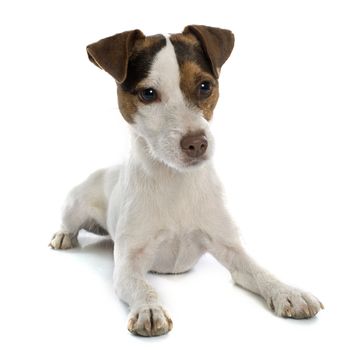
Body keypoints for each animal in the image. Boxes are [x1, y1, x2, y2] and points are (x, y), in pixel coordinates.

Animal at [49, 24, 322, 336]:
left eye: (205, 86)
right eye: (148, 94)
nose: (197, 143)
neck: (176, 181)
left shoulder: (231, 249)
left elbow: (259, 270)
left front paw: (288, 291)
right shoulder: (128, 264)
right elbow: (142, 286)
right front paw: (149, 308)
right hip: (75, 203)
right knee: (68, 223)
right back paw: (63, 236)